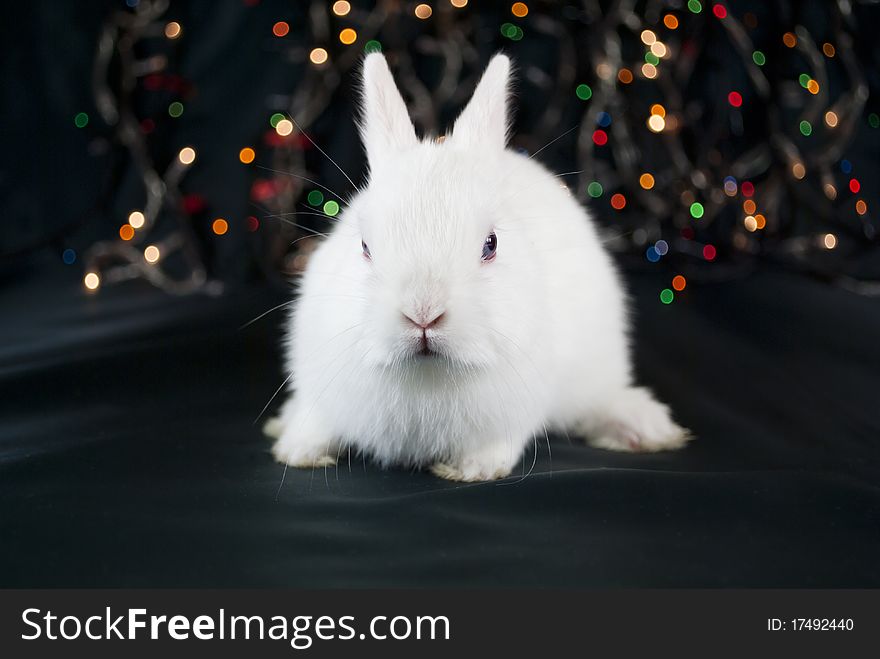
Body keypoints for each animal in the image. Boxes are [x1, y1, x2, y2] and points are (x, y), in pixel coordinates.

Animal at [264, 52, 692, 480]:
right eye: (365, 246)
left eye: (491, 244)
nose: (423, 313)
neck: (427, 377)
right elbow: (314, 424)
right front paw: (297, 451)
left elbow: (497, 447)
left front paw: (470, 470)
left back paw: (644, 429)